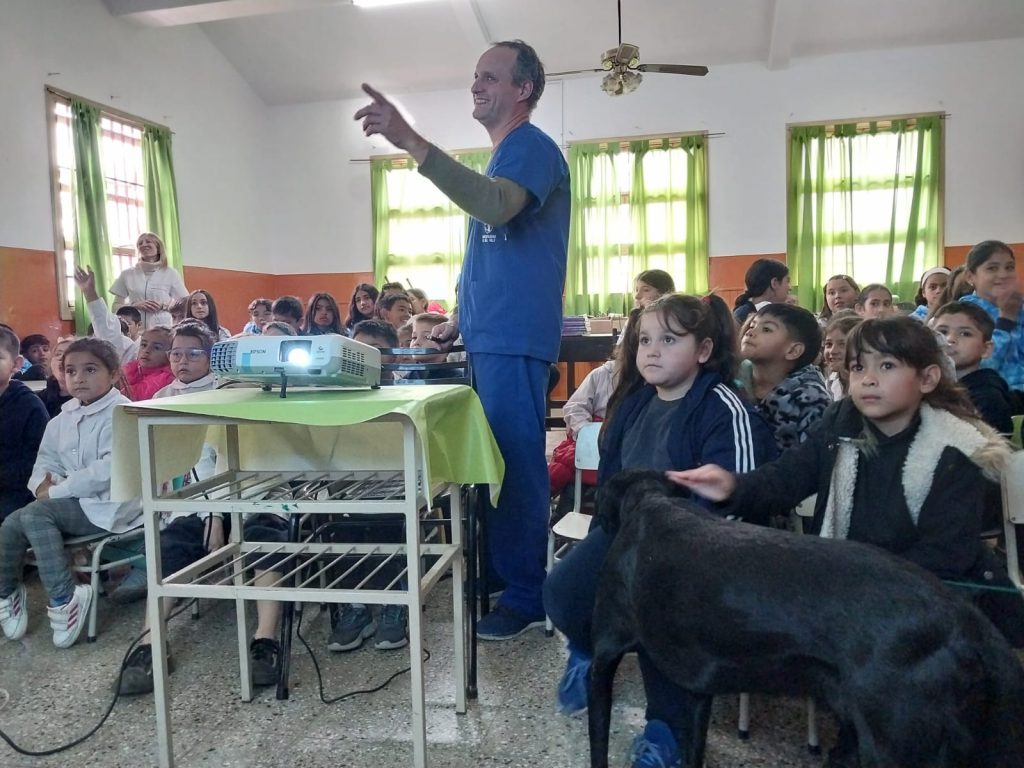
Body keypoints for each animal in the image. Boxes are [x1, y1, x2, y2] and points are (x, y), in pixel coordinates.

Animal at [589, 468, 1024, 768]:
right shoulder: (698, 691)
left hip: (898, 746)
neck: (650, 502)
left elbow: (598, 744)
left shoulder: (603, 657)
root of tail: (967, 622)